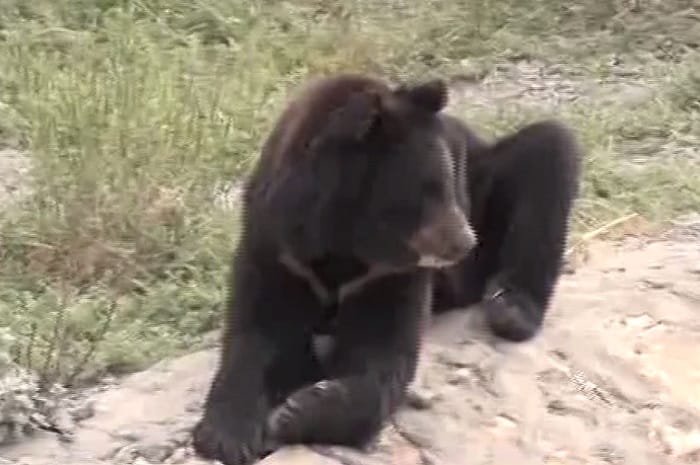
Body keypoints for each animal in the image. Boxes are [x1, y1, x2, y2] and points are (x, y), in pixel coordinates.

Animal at [192, 73, 582, 465]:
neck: (346, 239)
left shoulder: (385, 274)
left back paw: (511, 310)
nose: (465, 241)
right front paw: (226, 436)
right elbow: (257, 333)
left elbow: (382, 354)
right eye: (427, 188)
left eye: (448, 179)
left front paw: (298, 410)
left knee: (550, 149)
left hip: (488, 184)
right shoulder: (279, 249)